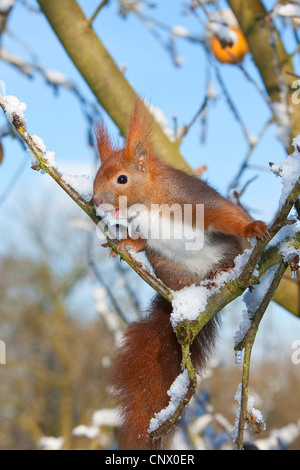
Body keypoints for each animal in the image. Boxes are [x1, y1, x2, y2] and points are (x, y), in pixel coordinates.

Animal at [92, 99, 268, 448]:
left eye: (121, 179)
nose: (95, 201)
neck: (148, 202)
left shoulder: (194, 201)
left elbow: (224, 215)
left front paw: (251, 227)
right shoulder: (147, 234)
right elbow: (141, 240)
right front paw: (125, 244)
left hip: (222, 253)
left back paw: (224, 273)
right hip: (168, 266)